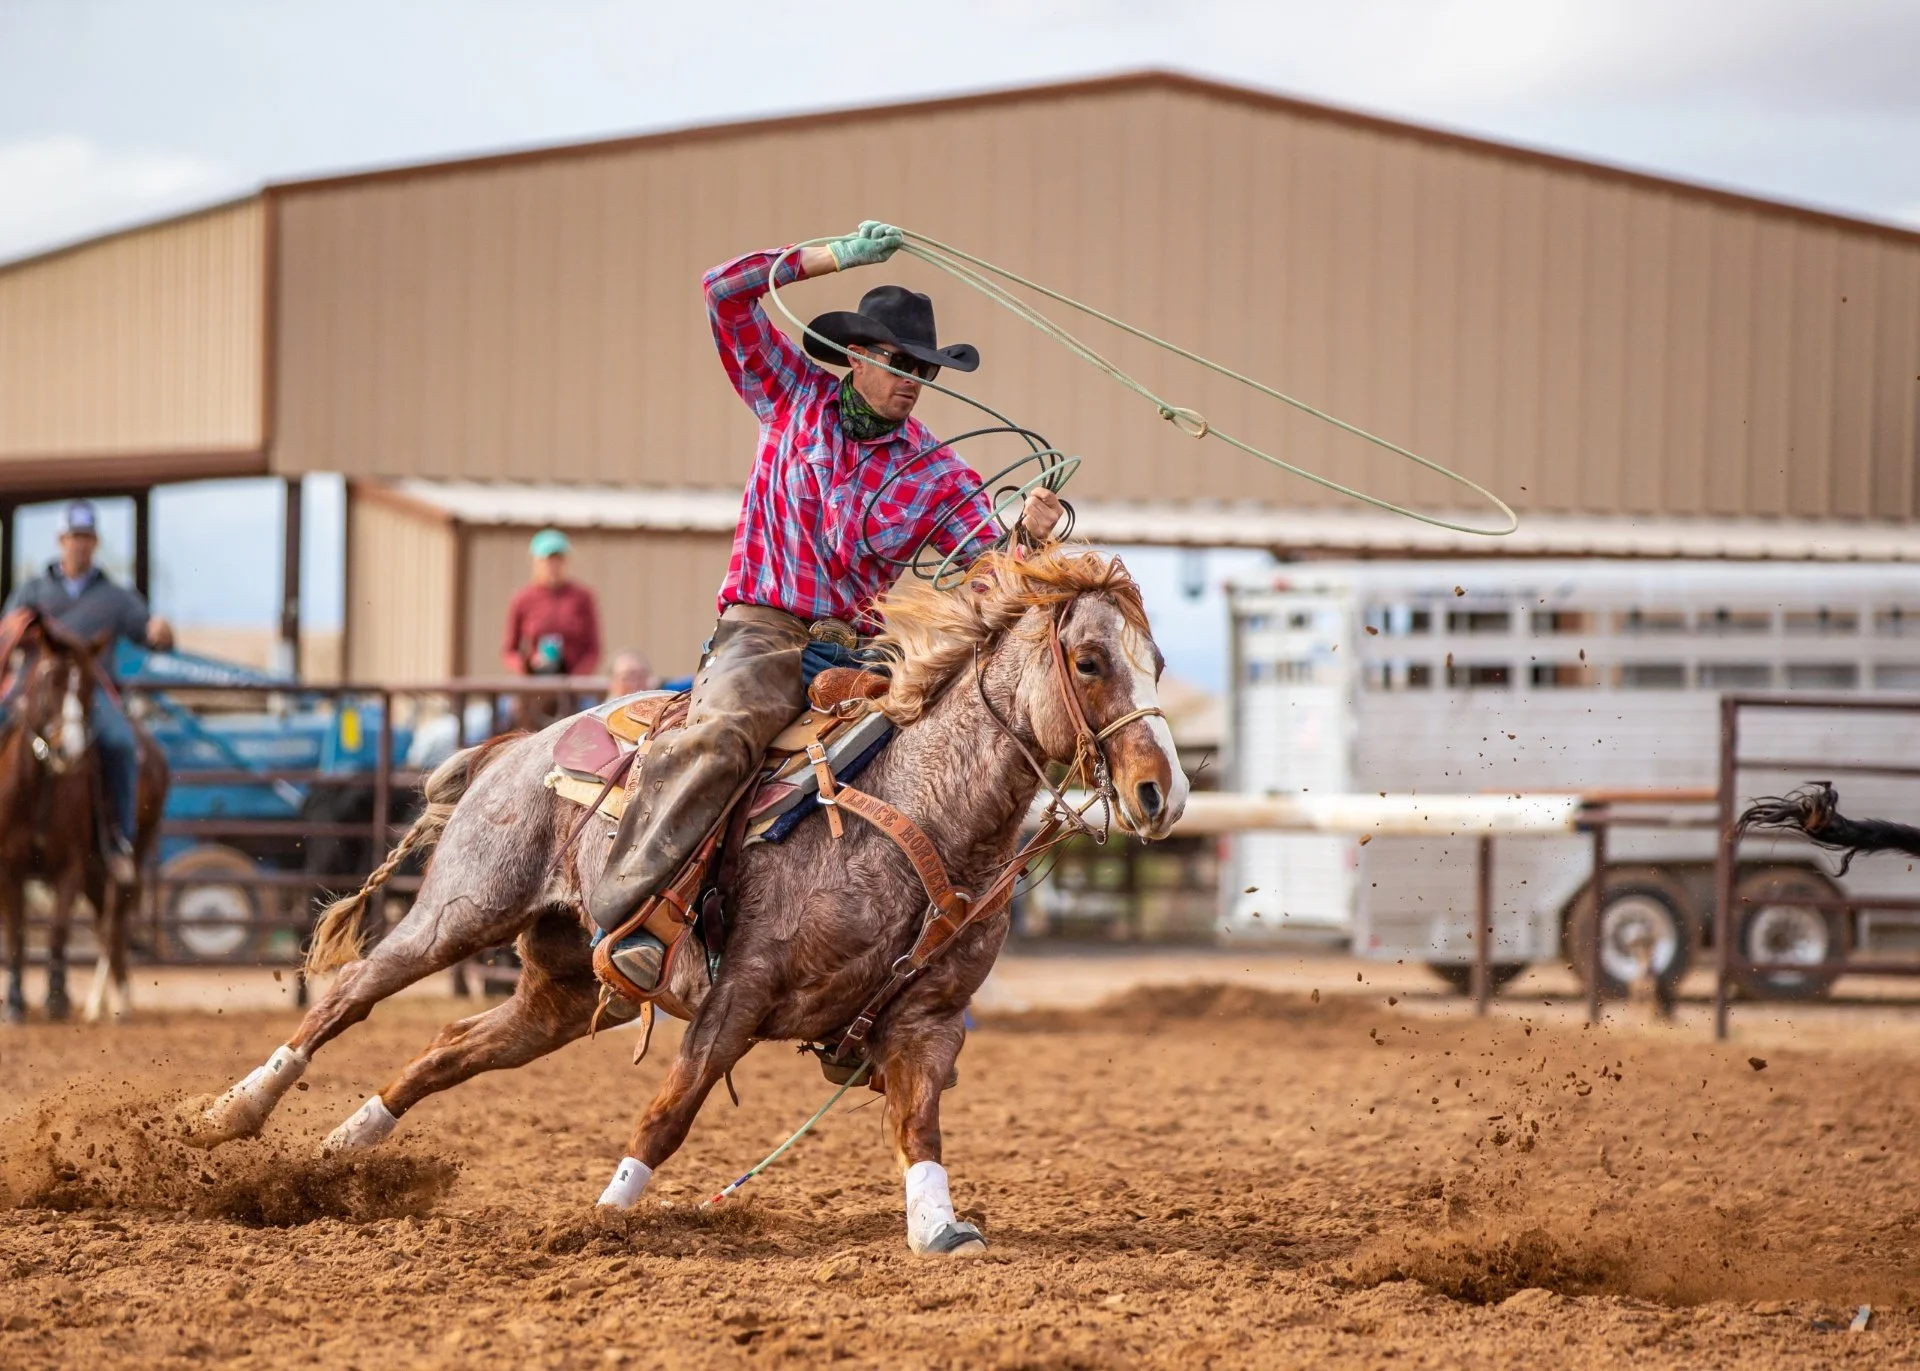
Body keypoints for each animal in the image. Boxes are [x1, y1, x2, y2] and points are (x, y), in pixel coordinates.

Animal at [0, 613, 167, 1023]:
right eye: (49, 679)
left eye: (88, 686)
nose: (68, 749)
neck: (38, 787)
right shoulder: (8, 868)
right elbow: (16, 934)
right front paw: (15, 1002)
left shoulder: (70, 866)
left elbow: (58, 930)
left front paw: (57, 999)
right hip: (96, 871)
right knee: (106, 921)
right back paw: (103, 1003)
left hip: (128, 859)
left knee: (114, 923)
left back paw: (114, 1002)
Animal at [194, 546, 1187, 1253]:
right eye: (1088, 660)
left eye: (1158, 660)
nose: (1160, 795)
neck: (924, 810)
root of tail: (514, 745)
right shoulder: (737, 993)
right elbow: (671, 1109)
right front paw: (605, 1213)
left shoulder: (928, 1021)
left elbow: (919, 1127)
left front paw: (939, 1227)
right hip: (461, 911)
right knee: (351, 994)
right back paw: (231, 1112)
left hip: (560, 991)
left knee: (447, 1047)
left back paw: (343, 1147)